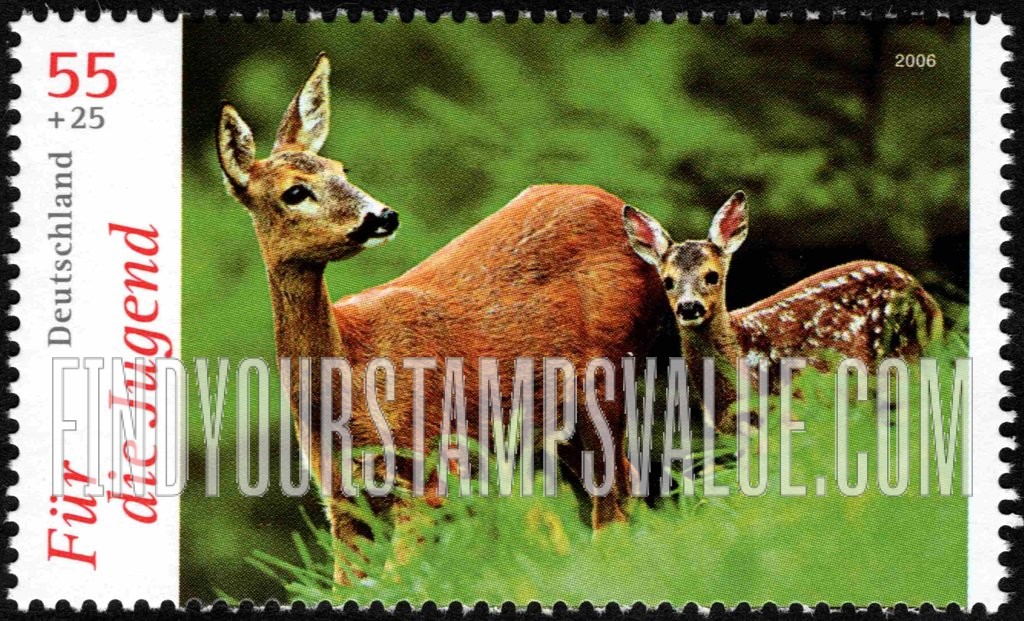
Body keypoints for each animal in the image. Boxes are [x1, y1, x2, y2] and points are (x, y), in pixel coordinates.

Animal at [217, 53, 674, 583]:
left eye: (341, 168)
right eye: (294, 192)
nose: (382, 216)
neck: (347, 387)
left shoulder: (429, 470)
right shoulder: (340, 497)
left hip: (609, 374)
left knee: (614, 497)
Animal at [623, 191, 943, 428]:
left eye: (712, 276)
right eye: (668, 281)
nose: (689, 307)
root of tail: (926, 296)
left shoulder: (787, 410)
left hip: (904, 356)